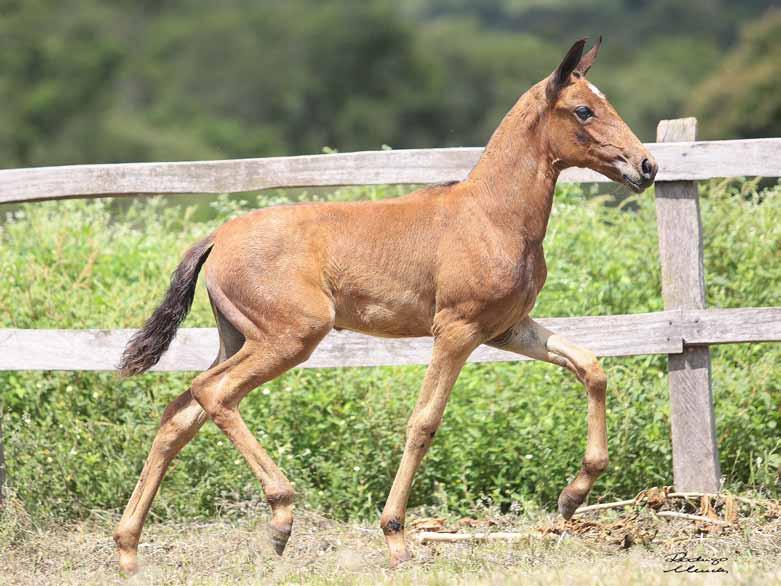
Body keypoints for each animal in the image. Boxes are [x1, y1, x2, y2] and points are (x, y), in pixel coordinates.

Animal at [112, 37, 656, 572]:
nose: (647, 166)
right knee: (213, 394)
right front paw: (395, 536)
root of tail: (217, 237)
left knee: (179, 414)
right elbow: (424, 421)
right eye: (584, 110)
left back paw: (128, 548)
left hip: (238, 337)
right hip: (290, 336)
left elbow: (591, 367)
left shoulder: (508, 328)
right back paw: (280, 516)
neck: (493, 216)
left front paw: (573, 495)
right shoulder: (456, 330)